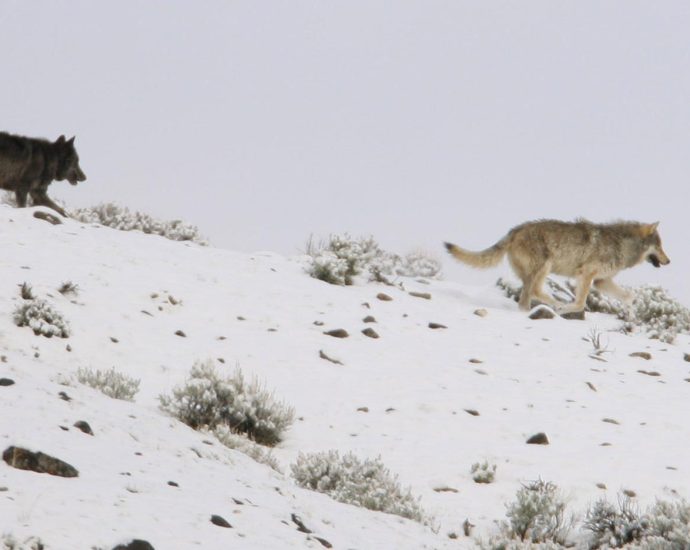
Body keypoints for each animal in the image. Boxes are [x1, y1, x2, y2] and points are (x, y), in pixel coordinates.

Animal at [444, 219, 670, 313]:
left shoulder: (600, 281)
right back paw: (556, 305)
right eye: (659, 246)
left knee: (526, 298)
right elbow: (580, 304)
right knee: (535, 292)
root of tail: (514, 230)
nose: (669, 261)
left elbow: (629, 297)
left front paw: (631, 316)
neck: (621, 245)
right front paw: (566, 308)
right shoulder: (586, 274)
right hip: (544, 267)